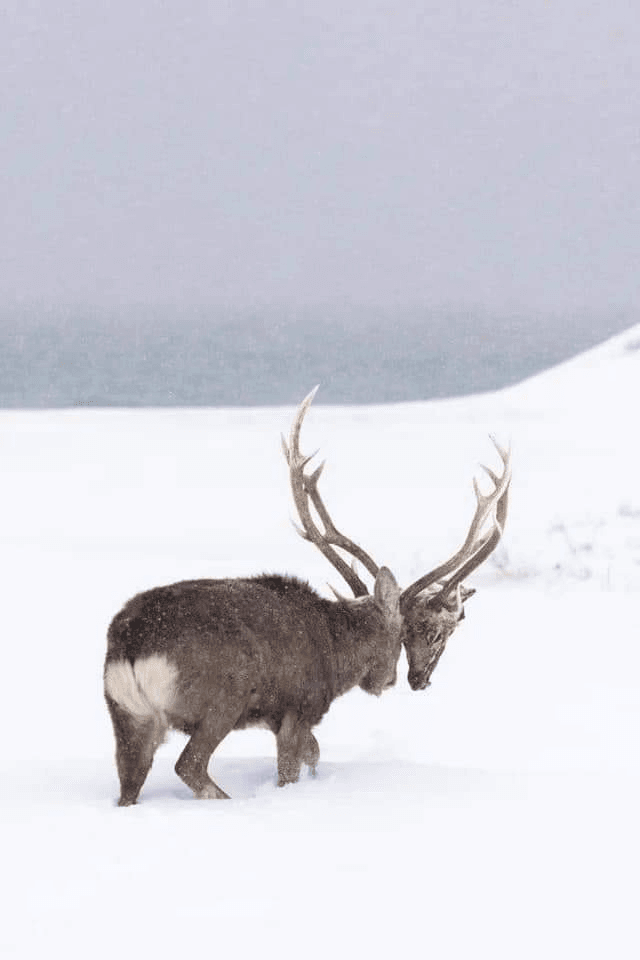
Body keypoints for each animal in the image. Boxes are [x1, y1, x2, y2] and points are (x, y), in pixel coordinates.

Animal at [105, 386, 512, 808]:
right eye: (406, 631)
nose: (394, 681)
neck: (337, 653)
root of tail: (132, 647)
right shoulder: (298, 707)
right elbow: (295, 766)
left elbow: (314, 754)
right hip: (222, 699)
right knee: (189, 765)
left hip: (126, 713)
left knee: (129, 782)